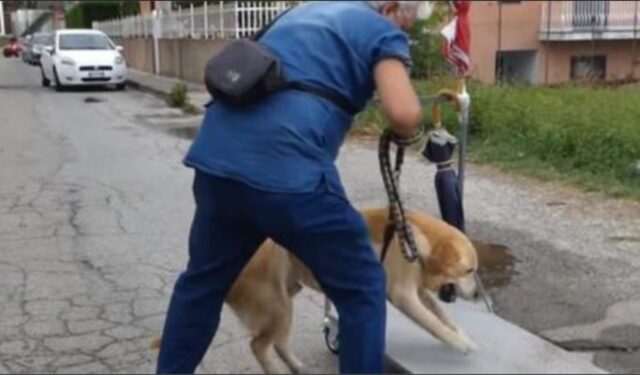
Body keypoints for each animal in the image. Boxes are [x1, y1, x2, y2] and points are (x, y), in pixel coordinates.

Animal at [152, 207, 478, 374]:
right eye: (469, 271)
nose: (476, 295)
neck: (416, 238)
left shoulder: (419, 294)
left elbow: (443, 317)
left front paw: (462, 334)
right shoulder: (403, 295)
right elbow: (434, 323)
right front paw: (460, 344)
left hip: (287, 300)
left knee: (278, 345)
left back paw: (298, 367)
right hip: (278, 308)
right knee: (259, 345)